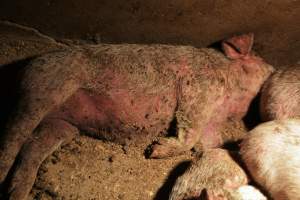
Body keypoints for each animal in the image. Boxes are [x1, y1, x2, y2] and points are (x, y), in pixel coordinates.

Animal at [0, 33, 274, 199]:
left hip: (61, 124)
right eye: (266, 65)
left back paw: (17, 193)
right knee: (13, 139)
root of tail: (23, 68)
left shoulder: (212, 124)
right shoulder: (197, 91)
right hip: (42, 91)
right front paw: (154, 151)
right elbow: (189, 130)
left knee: (32, 149)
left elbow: (209, 144)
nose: (275, 69)